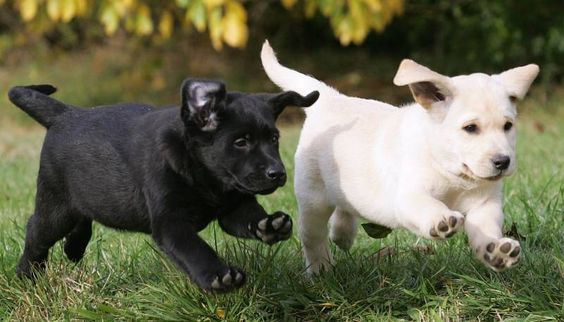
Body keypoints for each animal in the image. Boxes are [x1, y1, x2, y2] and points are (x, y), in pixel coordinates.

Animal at [8, 80, 320, 292]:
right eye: (240, 142)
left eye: (274, 139)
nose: (278, 173)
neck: (208, 179)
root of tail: (66, 113)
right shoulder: (170, 222)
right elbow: (194, 249)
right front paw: (219, 275)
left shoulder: (234, 206)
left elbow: (249, 218)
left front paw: (271, 225)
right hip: (56, 202)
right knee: (37, 231)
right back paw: (27, 276)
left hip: (85, 193)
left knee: (82, 217)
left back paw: (73, 248)